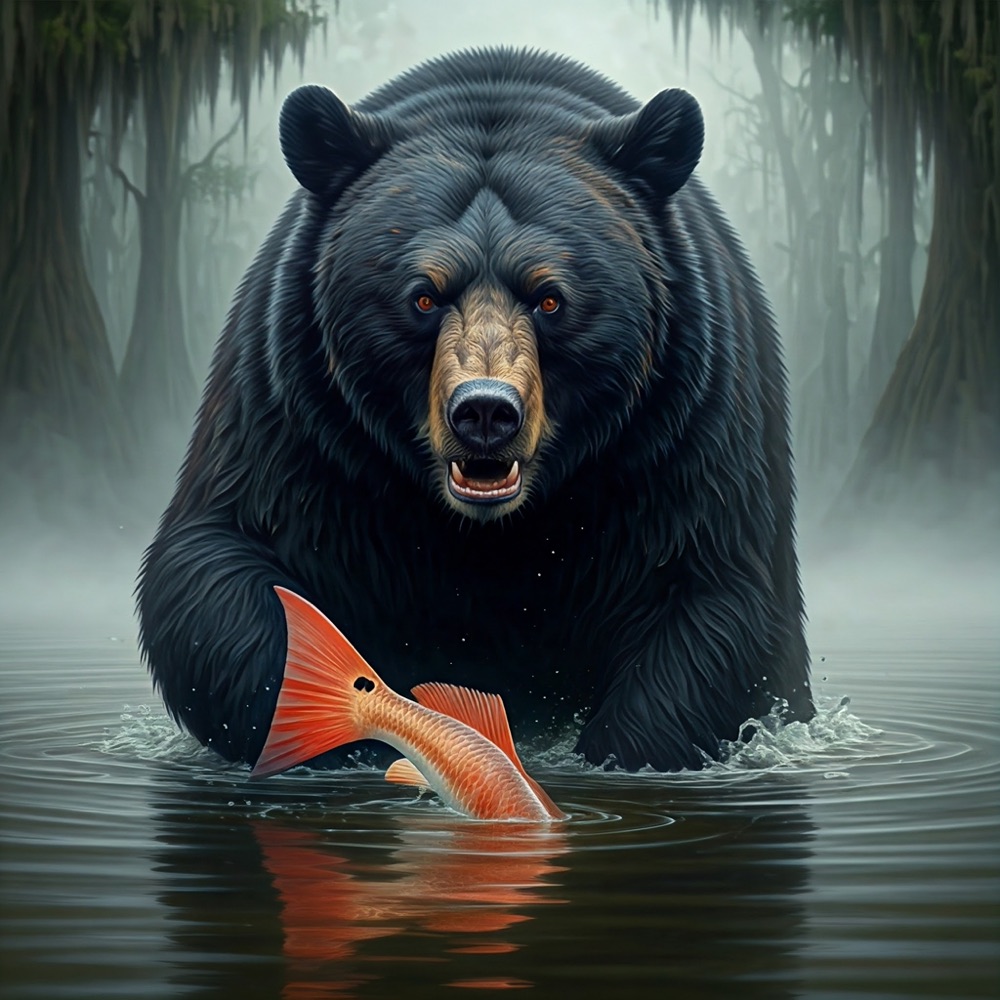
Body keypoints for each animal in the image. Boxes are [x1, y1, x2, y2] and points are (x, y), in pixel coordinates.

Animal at [137, 48, 811, 772]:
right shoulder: (299, 423)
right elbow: (218, 571)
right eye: (423, 296)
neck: (489, 535)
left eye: (550, 297)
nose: (485, 411)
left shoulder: (679, 434)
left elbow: (714, 606)